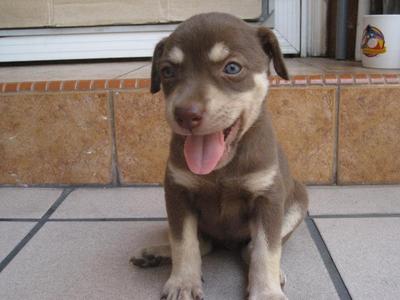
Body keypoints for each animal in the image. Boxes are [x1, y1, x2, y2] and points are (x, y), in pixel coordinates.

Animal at [131, 12, 310, 300]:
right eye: (167, 71)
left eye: (232, 68)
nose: (185, 114)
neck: (222, 167)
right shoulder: (177, 192)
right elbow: (183, 243)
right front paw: (183, 283)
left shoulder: (268, 197)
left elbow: (266, 250)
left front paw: (266, 292)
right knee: (202, 244)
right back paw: (154, 253)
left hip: (298, 201)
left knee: (250, 249)